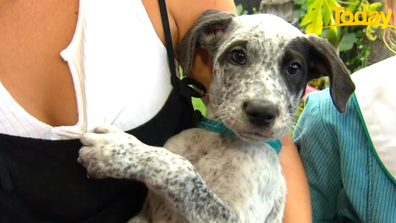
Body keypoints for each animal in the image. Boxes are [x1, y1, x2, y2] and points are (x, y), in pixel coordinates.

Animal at [77, 9, 356, 223]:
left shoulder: (239, 217)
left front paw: (116, 151)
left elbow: (184, 173)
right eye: (238, 55)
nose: (262, 111)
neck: (220, 141)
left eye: (294, 68)